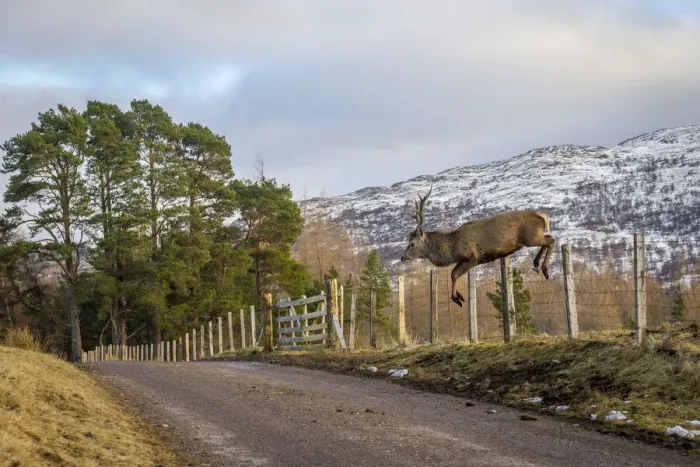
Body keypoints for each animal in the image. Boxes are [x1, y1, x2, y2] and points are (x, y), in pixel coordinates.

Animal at [399, 187, 556, 307]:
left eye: (412, 243)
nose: (402, 257)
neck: (452, 249)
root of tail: (542, 216)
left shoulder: (472, 257)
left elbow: (453, 274)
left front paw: (457, 298)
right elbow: (453, 274)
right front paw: (458, 295)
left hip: (530, 237)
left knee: (551, 240)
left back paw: (544, 268)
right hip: (533, 237)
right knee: (548, 239)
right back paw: (536, 263)